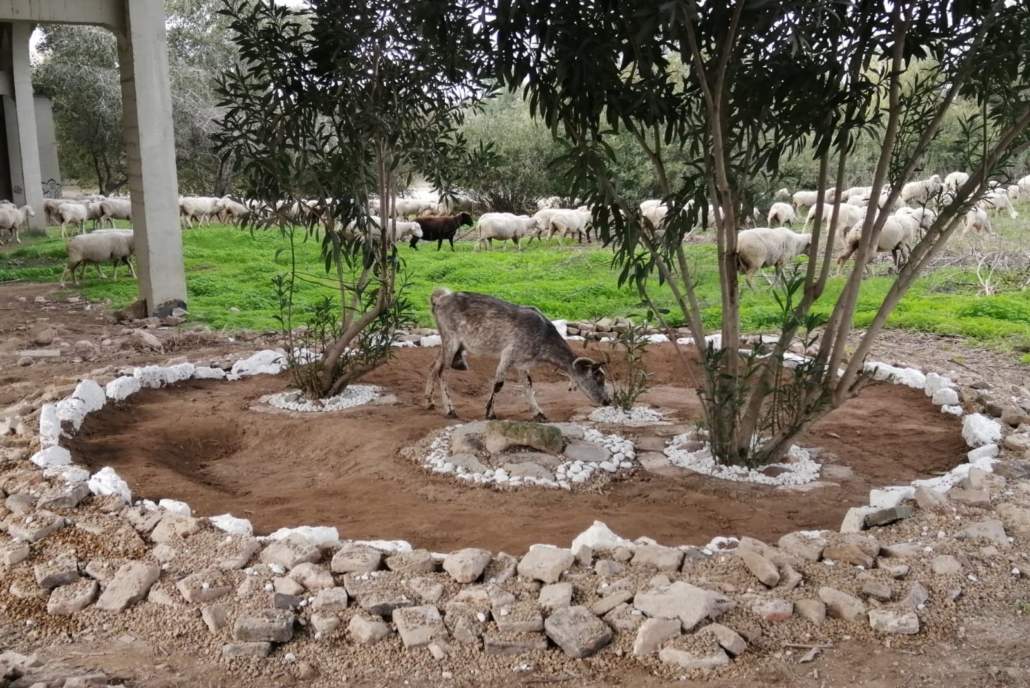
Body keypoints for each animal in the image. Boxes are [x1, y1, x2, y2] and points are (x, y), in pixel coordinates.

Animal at [426, 288, 609, 422]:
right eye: (597, 378)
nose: (607, 401)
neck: (542, 335)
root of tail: (440, 298)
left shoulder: (523, 364)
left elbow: (528, 386)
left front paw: (539, 413)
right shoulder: (508, 355)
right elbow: (499, 384)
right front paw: (490, 413)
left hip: (449, 344)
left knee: (434, 365)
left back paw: (429, 401)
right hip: (451, 340)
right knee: (442, 372)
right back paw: (450, 410)